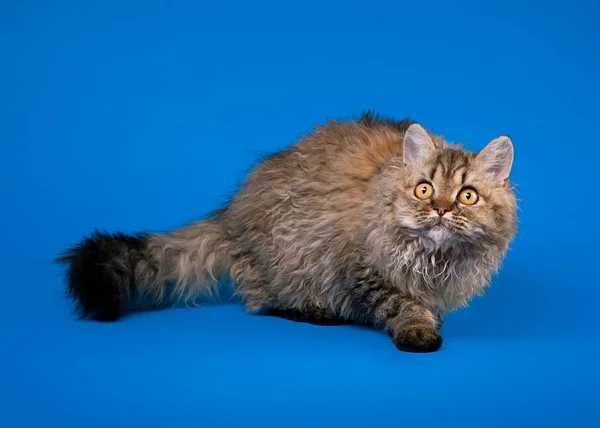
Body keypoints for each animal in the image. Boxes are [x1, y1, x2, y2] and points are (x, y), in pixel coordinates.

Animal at [55, 112, 516, 352]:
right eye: (424, 189)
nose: (441, 209)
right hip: (287, 258)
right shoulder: (362, 269)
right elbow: (402, 305)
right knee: (263, 301)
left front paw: (433, 318)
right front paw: (419, 329)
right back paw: (315, 311)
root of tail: (230, 216)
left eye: (467, 196)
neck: (434, 259)